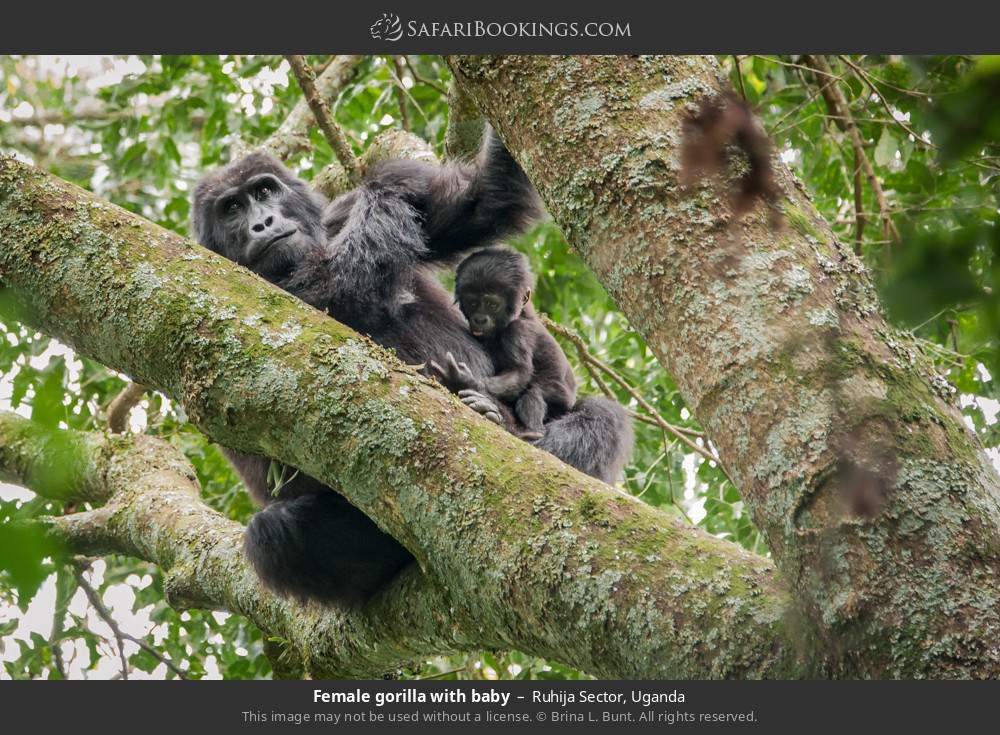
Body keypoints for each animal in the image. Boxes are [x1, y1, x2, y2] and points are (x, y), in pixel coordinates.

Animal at [432, 247, 576, 442]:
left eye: (492, 304)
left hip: (562, 398)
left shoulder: (517, 331)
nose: (479, 319)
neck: (520, 314)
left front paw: (466, 380)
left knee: (534, 393)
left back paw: (532, 432)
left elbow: (518, 372)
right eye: (472, 303)